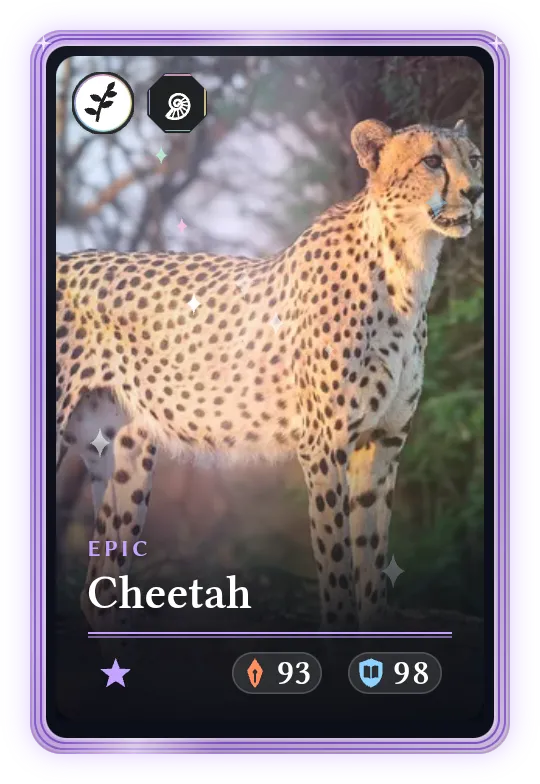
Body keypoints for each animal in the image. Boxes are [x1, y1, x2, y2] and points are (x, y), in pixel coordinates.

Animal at [55, 118, 484, 632]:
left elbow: (371, 566)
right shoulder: (324, 445)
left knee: (98, 591)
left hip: (126, 455)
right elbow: (336, 565)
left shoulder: (382, 442)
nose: (477, 191)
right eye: (432, 161)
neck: (408, 266)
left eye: (474, 159)